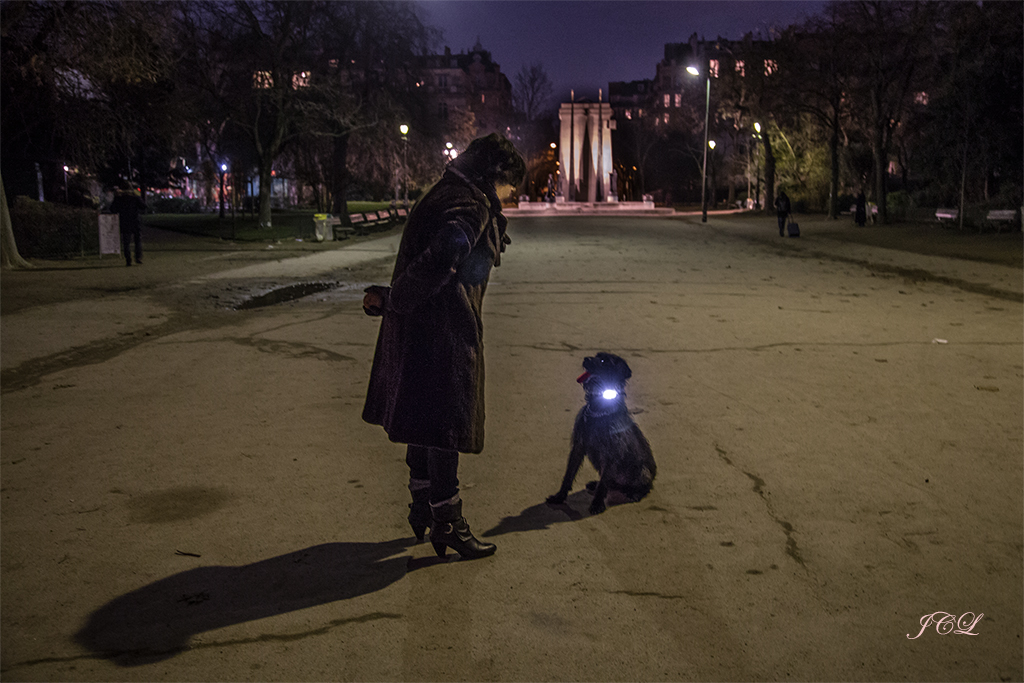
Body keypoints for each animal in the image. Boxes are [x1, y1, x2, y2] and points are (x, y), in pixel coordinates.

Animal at [544, 352, 655, 511]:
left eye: (603, 361)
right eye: (596, 356)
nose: (586, 359)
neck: (599, 410)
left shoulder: (611, 453)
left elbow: (604, 481)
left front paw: (597, 503)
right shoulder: (578, 446)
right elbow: (569, 474)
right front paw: (559, 497)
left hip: (642, 472)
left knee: (641, 487)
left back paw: (634, 493)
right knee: (612, 482)